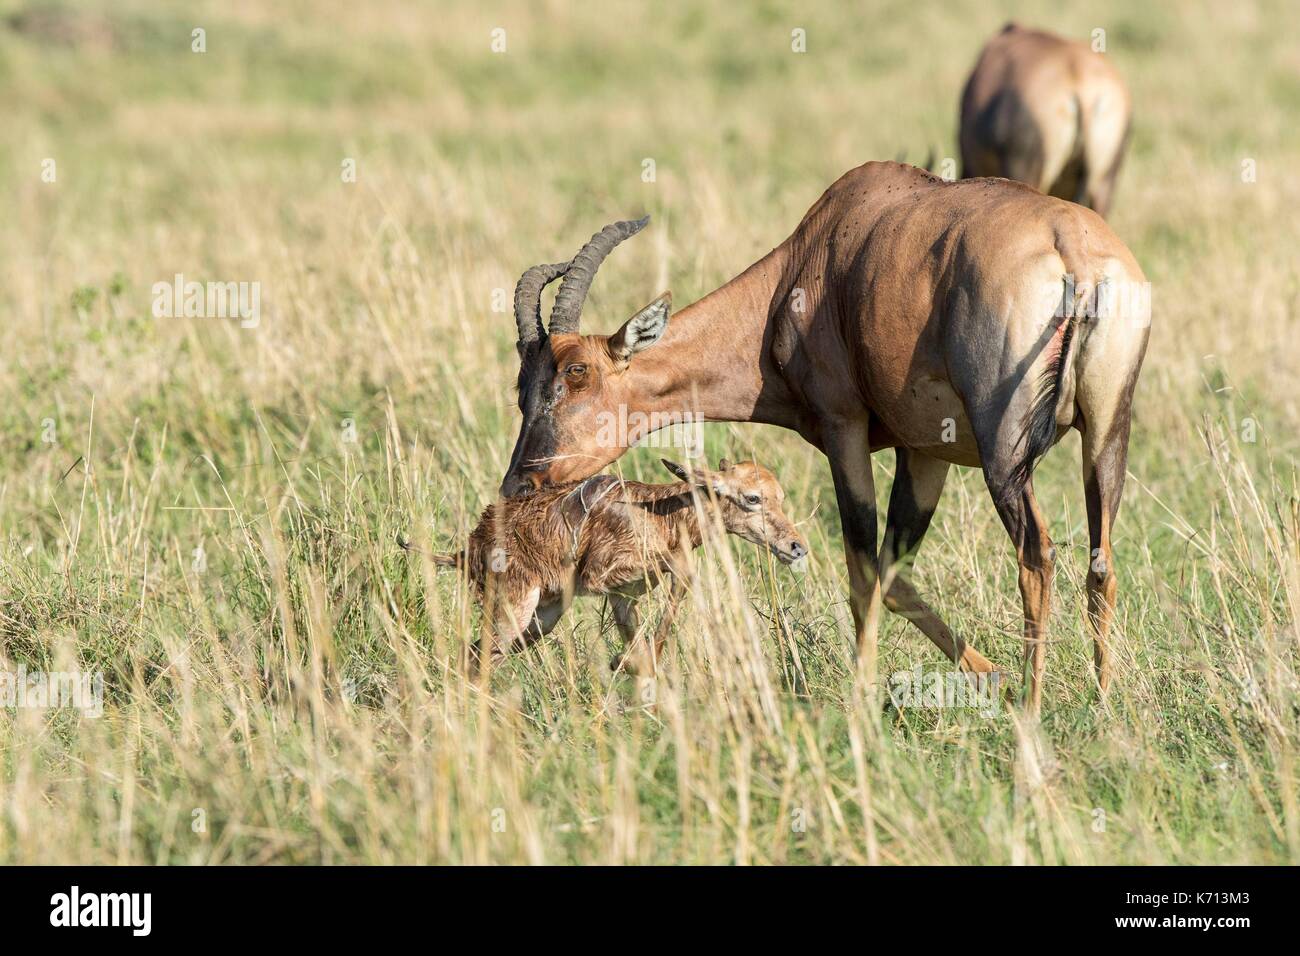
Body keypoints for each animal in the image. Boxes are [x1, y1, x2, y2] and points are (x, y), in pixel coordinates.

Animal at [431, 457, 806, 671]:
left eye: (781, 497)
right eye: (752, 497)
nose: (796, 547)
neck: (656, 512)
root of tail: (469, 546)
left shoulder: (623, 595)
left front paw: (629, 663)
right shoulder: (600, 578)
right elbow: (684, 572)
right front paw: (622, 662)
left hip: (543, 617)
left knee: (478, 653)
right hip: (516, 609)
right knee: (477, 657)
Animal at [501, 158, 1154, 712]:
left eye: (575, 376)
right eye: (522, 385)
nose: (518, 485)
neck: (813, 259)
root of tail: (1075, 257)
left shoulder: (845, 430)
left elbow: (863, 570)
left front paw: (862, 696)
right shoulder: (927, 450)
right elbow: (893, 573)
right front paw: (987, 674)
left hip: (1004, 453)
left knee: (1037, 556)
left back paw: (1034, 707)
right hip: (1108, 434)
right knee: (1101, 562)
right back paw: (1103, 704)